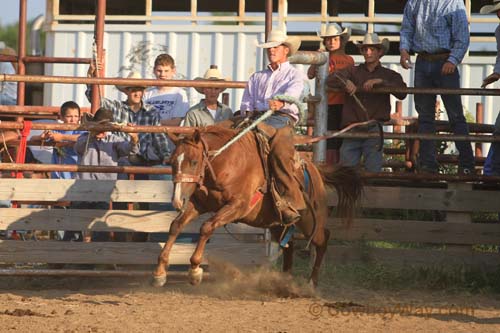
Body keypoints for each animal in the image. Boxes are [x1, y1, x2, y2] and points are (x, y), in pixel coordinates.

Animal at [150, 124, 362, 286]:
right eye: (171, 162)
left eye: (194, 162)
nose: (177, 200)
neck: (227, 165)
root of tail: (316, 170)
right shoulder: (199, 204)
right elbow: (176, 225)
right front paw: (160, 272)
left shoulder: (238, 206)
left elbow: (206, 227)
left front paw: (194, 270)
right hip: (276, 223)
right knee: (290, 245)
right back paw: (285, 280)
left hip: (310, 222)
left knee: (323, 238)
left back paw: (311, 282)